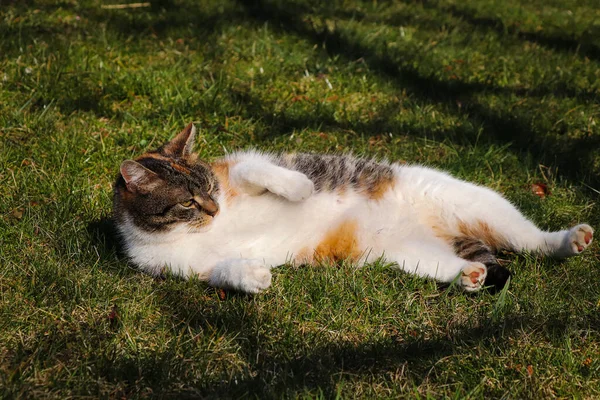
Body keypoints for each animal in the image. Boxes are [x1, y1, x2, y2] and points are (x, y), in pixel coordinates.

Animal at [113, 124, 596, 294]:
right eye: (187, 202)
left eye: (211, 186)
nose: (214, 210)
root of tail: (445, 231)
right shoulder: (181, 269)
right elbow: (223, 272)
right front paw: (253, 277)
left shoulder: (237, 170)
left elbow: (256, 166)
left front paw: (300, 187)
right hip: (405, 254)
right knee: (452, 264)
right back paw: (468, 275)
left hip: (476, 201)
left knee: (530, 238)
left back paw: (568, 240)